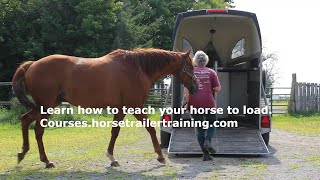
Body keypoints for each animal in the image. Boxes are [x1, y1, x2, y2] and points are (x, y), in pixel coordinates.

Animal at [11, 47, 198, 167]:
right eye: (190, 67)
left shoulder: (121, 109)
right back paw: (46, 161)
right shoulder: (136, 107)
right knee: (38, 130)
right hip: (46, 107)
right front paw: (160, 156)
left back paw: (22, 153)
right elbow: (151, 129)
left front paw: (111, 157)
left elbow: (115, 132)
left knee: (25, 120)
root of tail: (32, 64)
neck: (138, 68)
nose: (196, 87)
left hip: (45, 105)